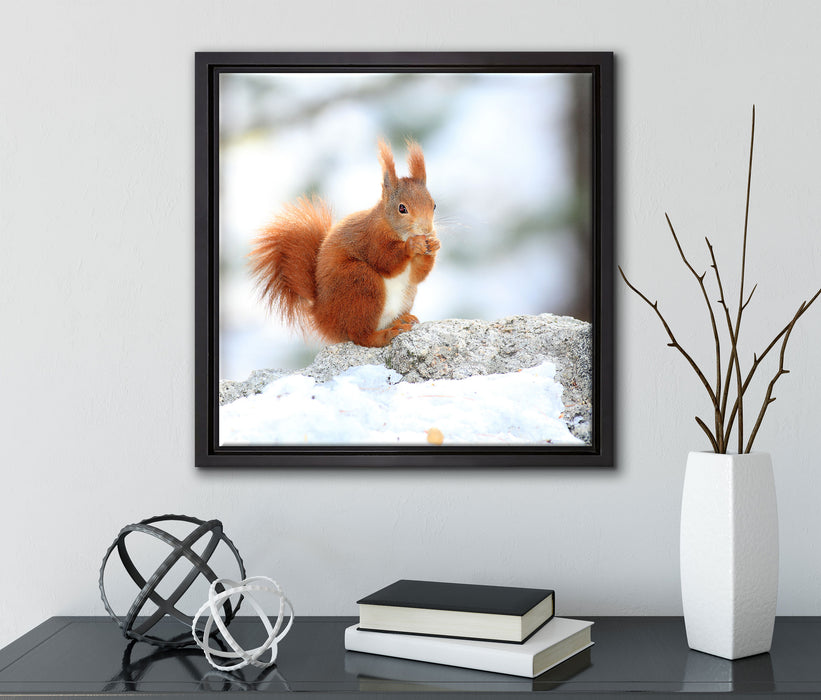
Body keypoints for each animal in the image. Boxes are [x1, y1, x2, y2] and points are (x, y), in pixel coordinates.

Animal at [249, 139, 440, 348]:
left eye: (434, 205)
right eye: (402, 208)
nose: (426, 229)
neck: (392, 227)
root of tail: (321, 316)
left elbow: (417, 275)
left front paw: (434, 244)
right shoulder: (371, 238)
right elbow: (385, 261)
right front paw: (412, 245)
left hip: (405, 293)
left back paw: (401, 320)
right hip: (360, 283)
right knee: (360, 335)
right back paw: (387, 334)